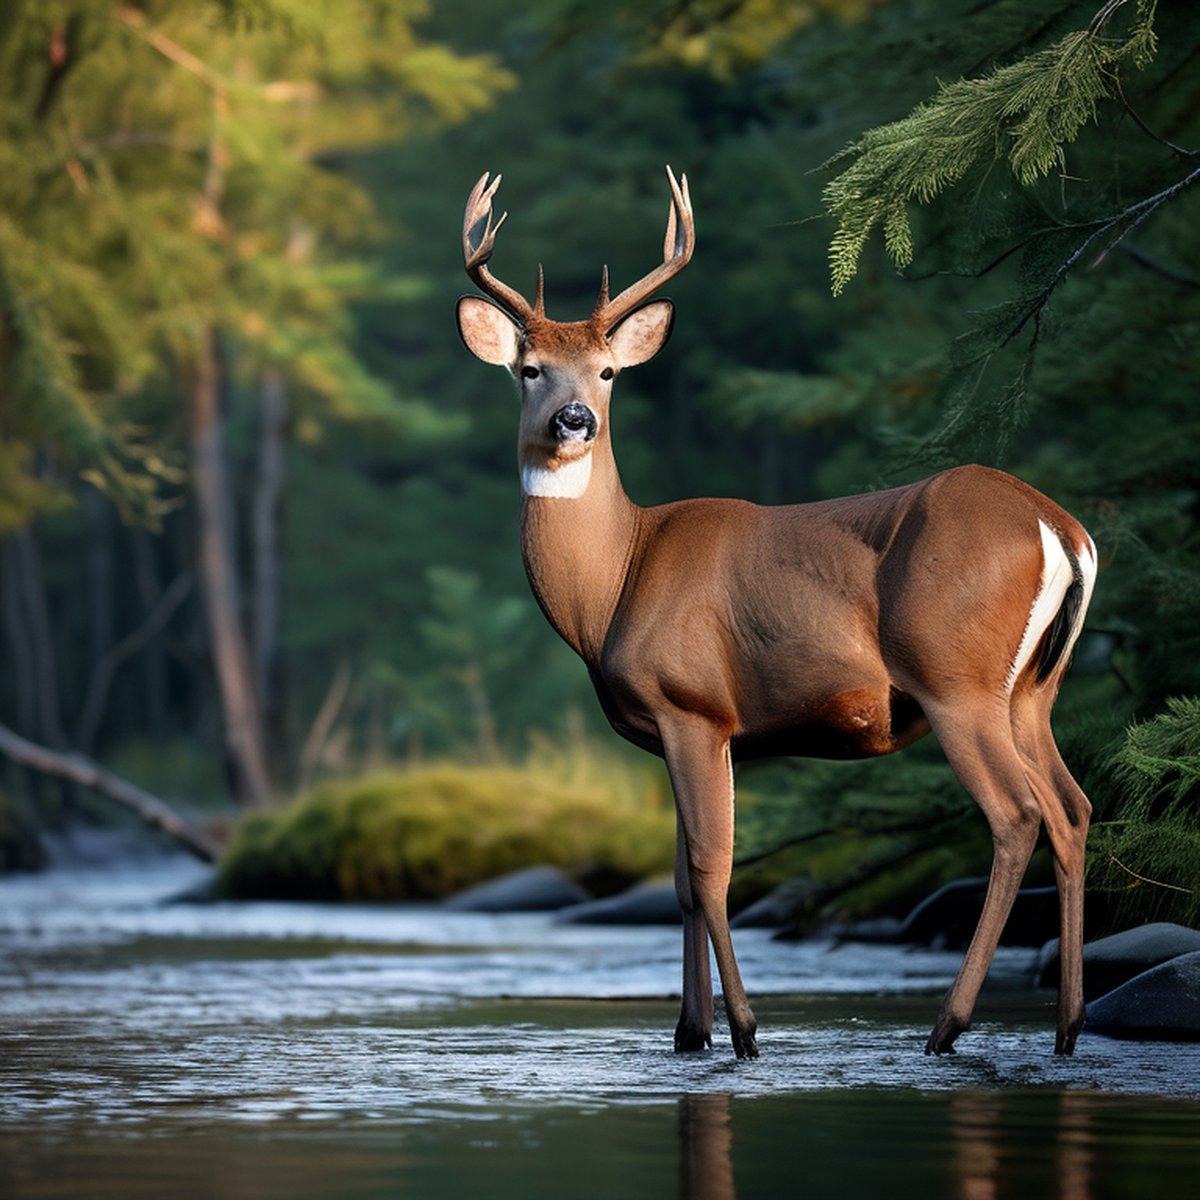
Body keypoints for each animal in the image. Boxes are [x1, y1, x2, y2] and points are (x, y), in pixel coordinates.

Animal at [455, 166, 1098, 1061]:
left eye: (609, 372)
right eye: (530, 368)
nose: (573, 421)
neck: (616, 580)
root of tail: (1061, 529)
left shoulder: (693, 706)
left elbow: (711, 869)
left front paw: (747, 1033)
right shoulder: (680, 732)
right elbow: (682, 879)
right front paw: (689, 1033)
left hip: (957, 681)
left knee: (1017, 816)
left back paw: (949, 1025)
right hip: (1033, 690)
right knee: (1073, 810)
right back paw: (1067, 1027)